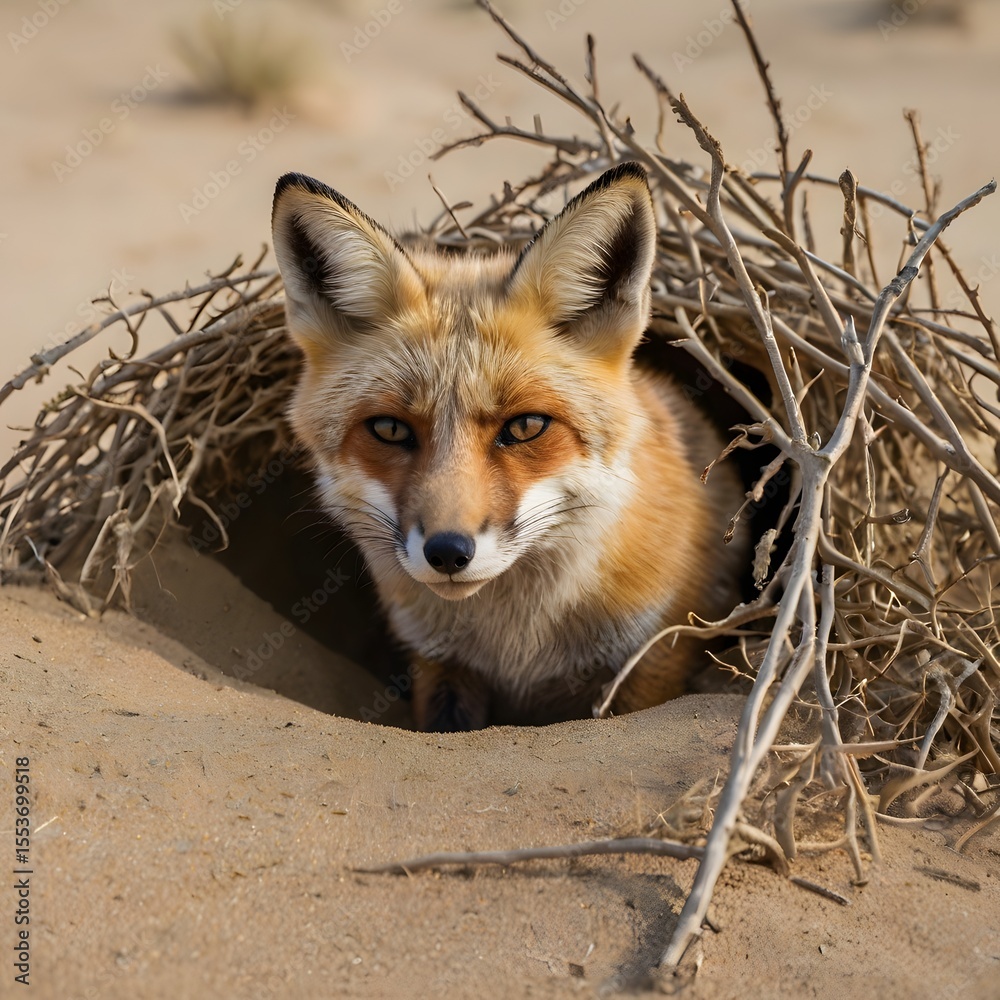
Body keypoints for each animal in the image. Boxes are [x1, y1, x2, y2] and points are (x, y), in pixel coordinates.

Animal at [270, 162, 746, 731]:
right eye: (389, 429)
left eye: (525, 427)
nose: (447, 553)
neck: (517, 646)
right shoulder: (439, 662)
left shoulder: (650, 656)